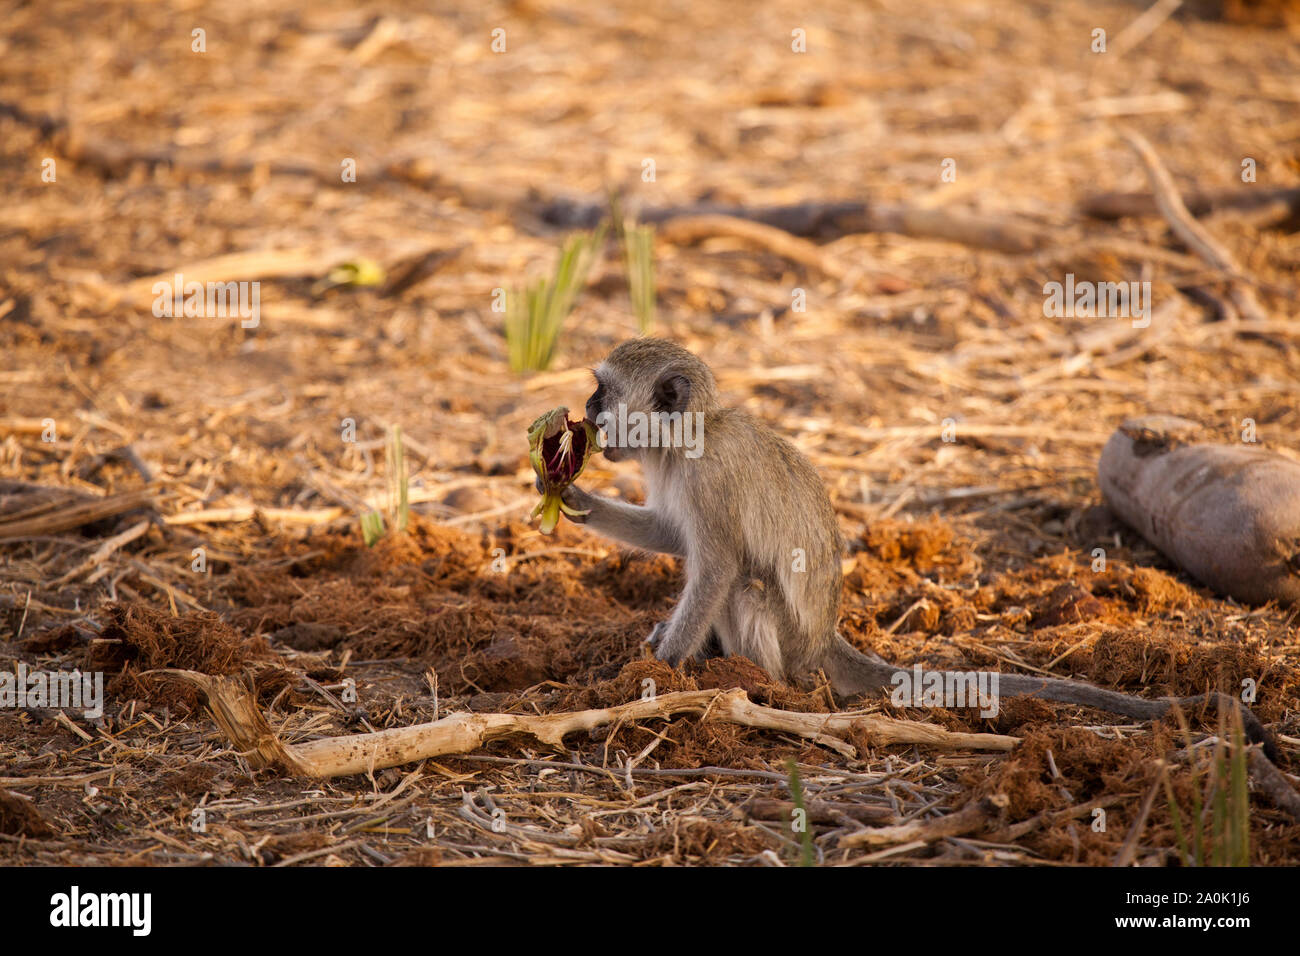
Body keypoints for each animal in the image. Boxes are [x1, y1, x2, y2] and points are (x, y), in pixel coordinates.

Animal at [561, 340, 1268, 738]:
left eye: (603, 390)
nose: (587, 412)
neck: (688, 439)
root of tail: (823, 641)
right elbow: (669, 534)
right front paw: (571, 496)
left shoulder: (710, 481)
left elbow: (714, 568)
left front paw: (655, 675)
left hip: (790, 642)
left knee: (749, 587)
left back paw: (763, 688)